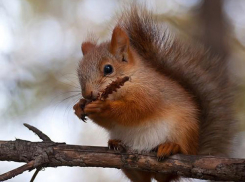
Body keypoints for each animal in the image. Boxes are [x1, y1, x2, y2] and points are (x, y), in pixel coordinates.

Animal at [73, 6, 236, 182]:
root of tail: (195, 148)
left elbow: (136, 109)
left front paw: (102, 107)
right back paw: (116, 144)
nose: (87, 94)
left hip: (184, 131)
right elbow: (109, 122)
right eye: (79, 73)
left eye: (108, 69)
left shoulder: (151, 93)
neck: (131, 81)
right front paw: (79, 106)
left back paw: (171, 147)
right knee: (140, 176)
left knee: (166, 173)